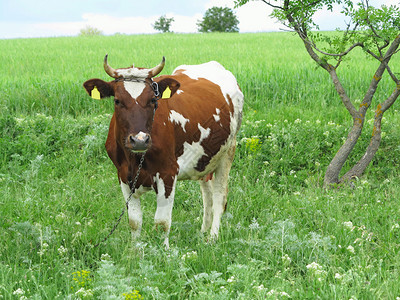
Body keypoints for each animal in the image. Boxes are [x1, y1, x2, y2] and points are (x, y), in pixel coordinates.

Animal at [83, 55, 242, 247]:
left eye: (153, 100)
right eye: (117, 101)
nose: (139, 140)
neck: (135, 159)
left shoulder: (168, 173)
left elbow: (162, 222)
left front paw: (164, 251)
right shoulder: (123, 175)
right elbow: (134, 221)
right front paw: (135, 251)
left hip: (227, 153)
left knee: (219, 197)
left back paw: (212, 237)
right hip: (204, 160)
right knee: (207, 195)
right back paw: (203, 232)